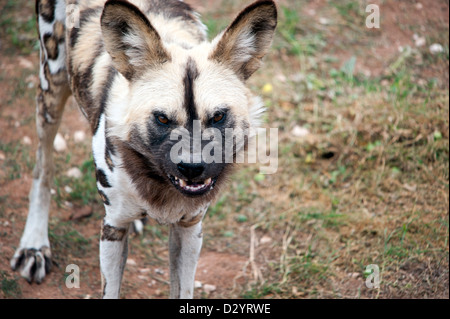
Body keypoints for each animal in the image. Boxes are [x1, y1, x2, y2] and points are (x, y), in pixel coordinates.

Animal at [10, 0, 276, 300]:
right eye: (162, 119)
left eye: (218, 116)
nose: (192, 168)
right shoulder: (113, 228)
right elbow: (111, 291)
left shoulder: (189, 227)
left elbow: (183, 291)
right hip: (51, 93)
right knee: (42, 169)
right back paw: (34, 245)